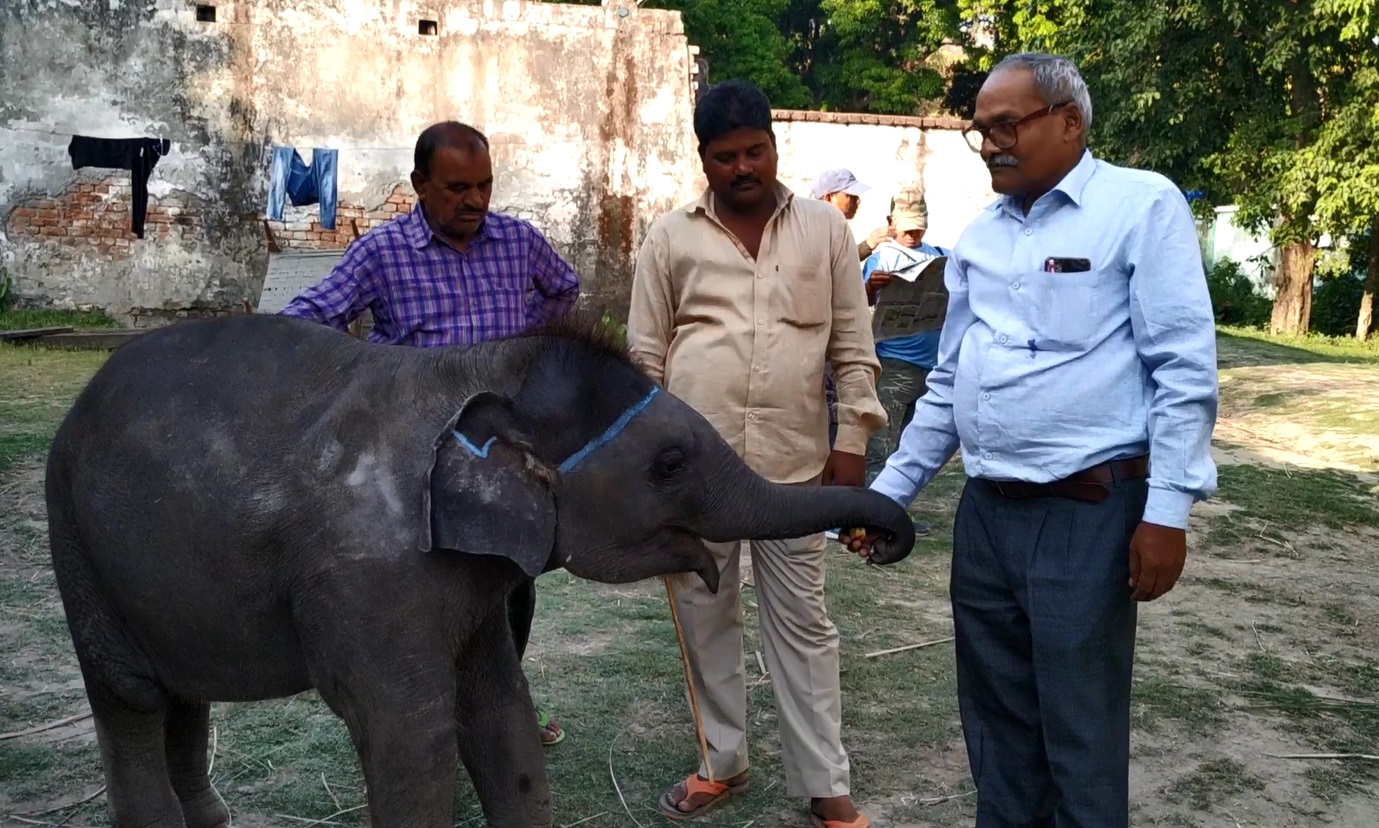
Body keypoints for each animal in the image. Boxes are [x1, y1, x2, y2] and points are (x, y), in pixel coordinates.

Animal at [48, 313, 915, 822]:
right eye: (669, 464)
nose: (883, 540)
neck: (473, 371)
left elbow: (499, 710)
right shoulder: (368, 578)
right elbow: (410, 734)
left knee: (180, 697)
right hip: (75, 545)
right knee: (130, 699)